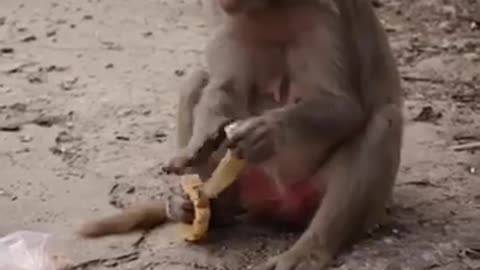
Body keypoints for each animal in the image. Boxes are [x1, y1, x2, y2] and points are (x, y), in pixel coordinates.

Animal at [79, 0, 404, 270]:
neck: (269, 6)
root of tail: (281, 202)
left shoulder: (325, 13)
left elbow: (343, 106)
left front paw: (267, 132)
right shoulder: (226, 17)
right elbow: (225, 87)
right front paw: (200, 141)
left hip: (327, 196)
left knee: (383, 121)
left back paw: (310, 249)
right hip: (248, 186)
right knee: (197, 79)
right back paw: (204, 210)